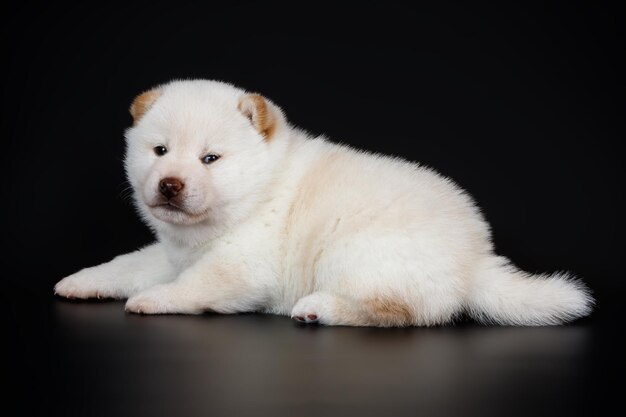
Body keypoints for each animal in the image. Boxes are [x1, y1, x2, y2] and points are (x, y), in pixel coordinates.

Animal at [53, 79, 588, 324]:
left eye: (210, 158)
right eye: (160, 151)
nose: (170, 185)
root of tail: (475, 260)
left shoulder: (241, 267)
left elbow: (193, 286)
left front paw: (151, 300)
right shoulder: (171, 254)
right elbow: (125, 264)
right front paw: (80, 282)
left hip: (354, 250)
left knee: (397, 311)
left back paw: (319, 308)